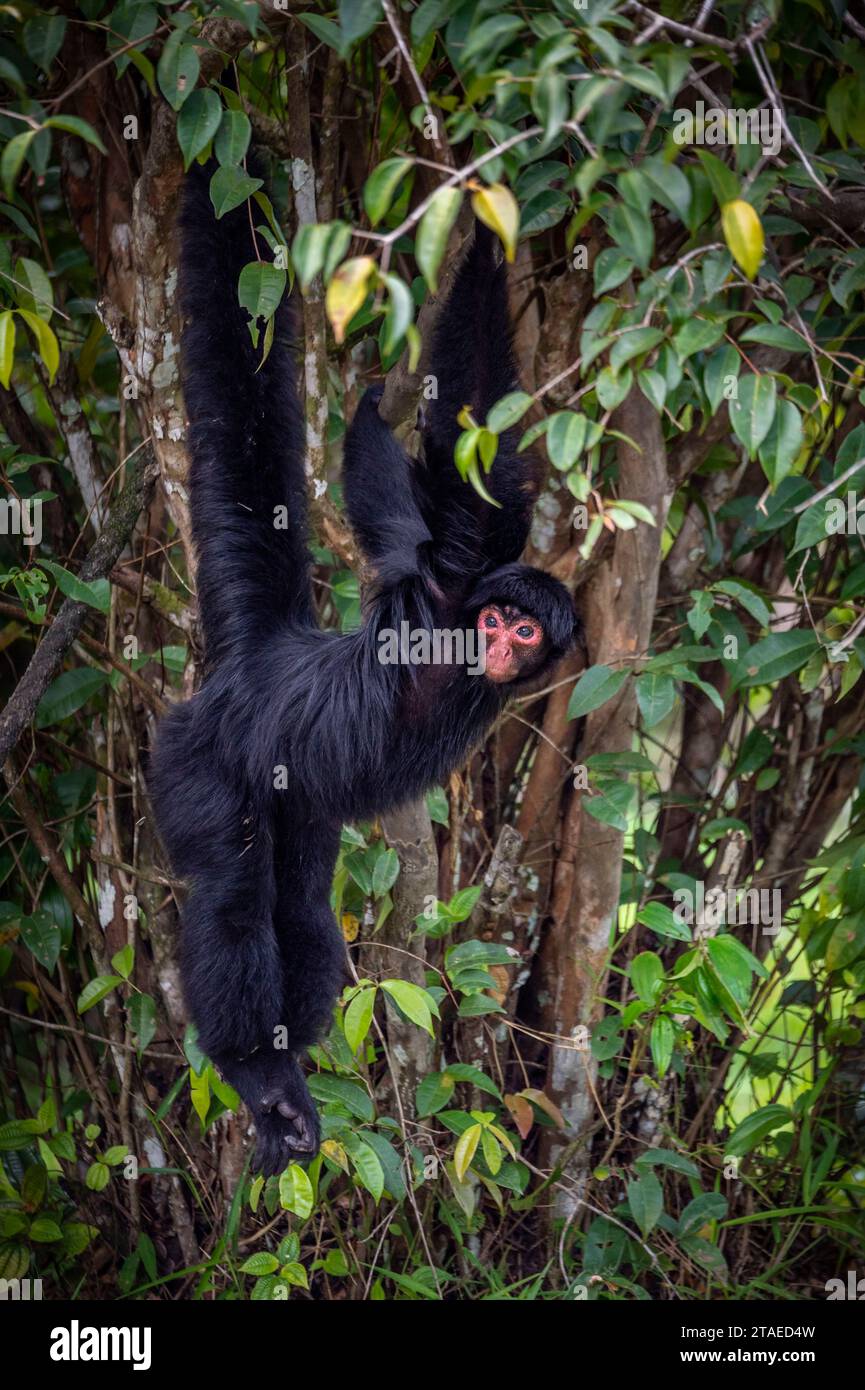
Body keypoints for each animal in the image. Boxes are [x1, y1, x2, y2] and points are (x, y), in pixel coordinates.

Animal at [149, 161, 579, 1175]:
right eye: (496, 621)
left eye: (526, 632)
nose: (499, 644)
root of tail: (255, 665)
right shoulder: (450, 579)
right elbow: (465, 454)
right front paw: (491, 216)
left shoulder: (442, 569)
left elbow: (415, 490)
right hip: (198, 756)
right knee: (234, 896)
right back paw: (258, 1074)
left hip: (296, 796)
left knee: (302, 906)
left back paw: (289, 1066)